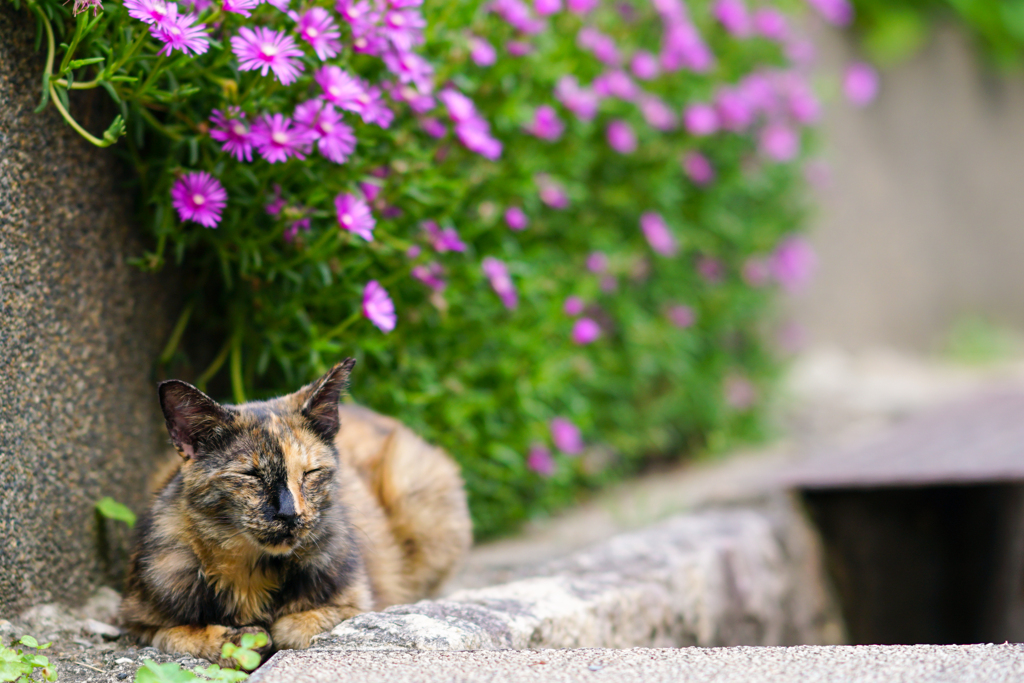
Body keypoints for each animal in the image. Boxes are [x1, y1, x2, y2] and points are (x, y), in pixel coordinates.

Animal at [117, 360, 471, 663]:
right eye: (250, 475)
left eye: (311, 472)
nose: (290, 514)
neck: (251, 572)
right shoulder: (137, 622)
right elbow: (176, 634)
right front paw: (232, 641)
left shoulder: (359, 603)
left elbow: (294, 627)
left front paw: (274, 632)